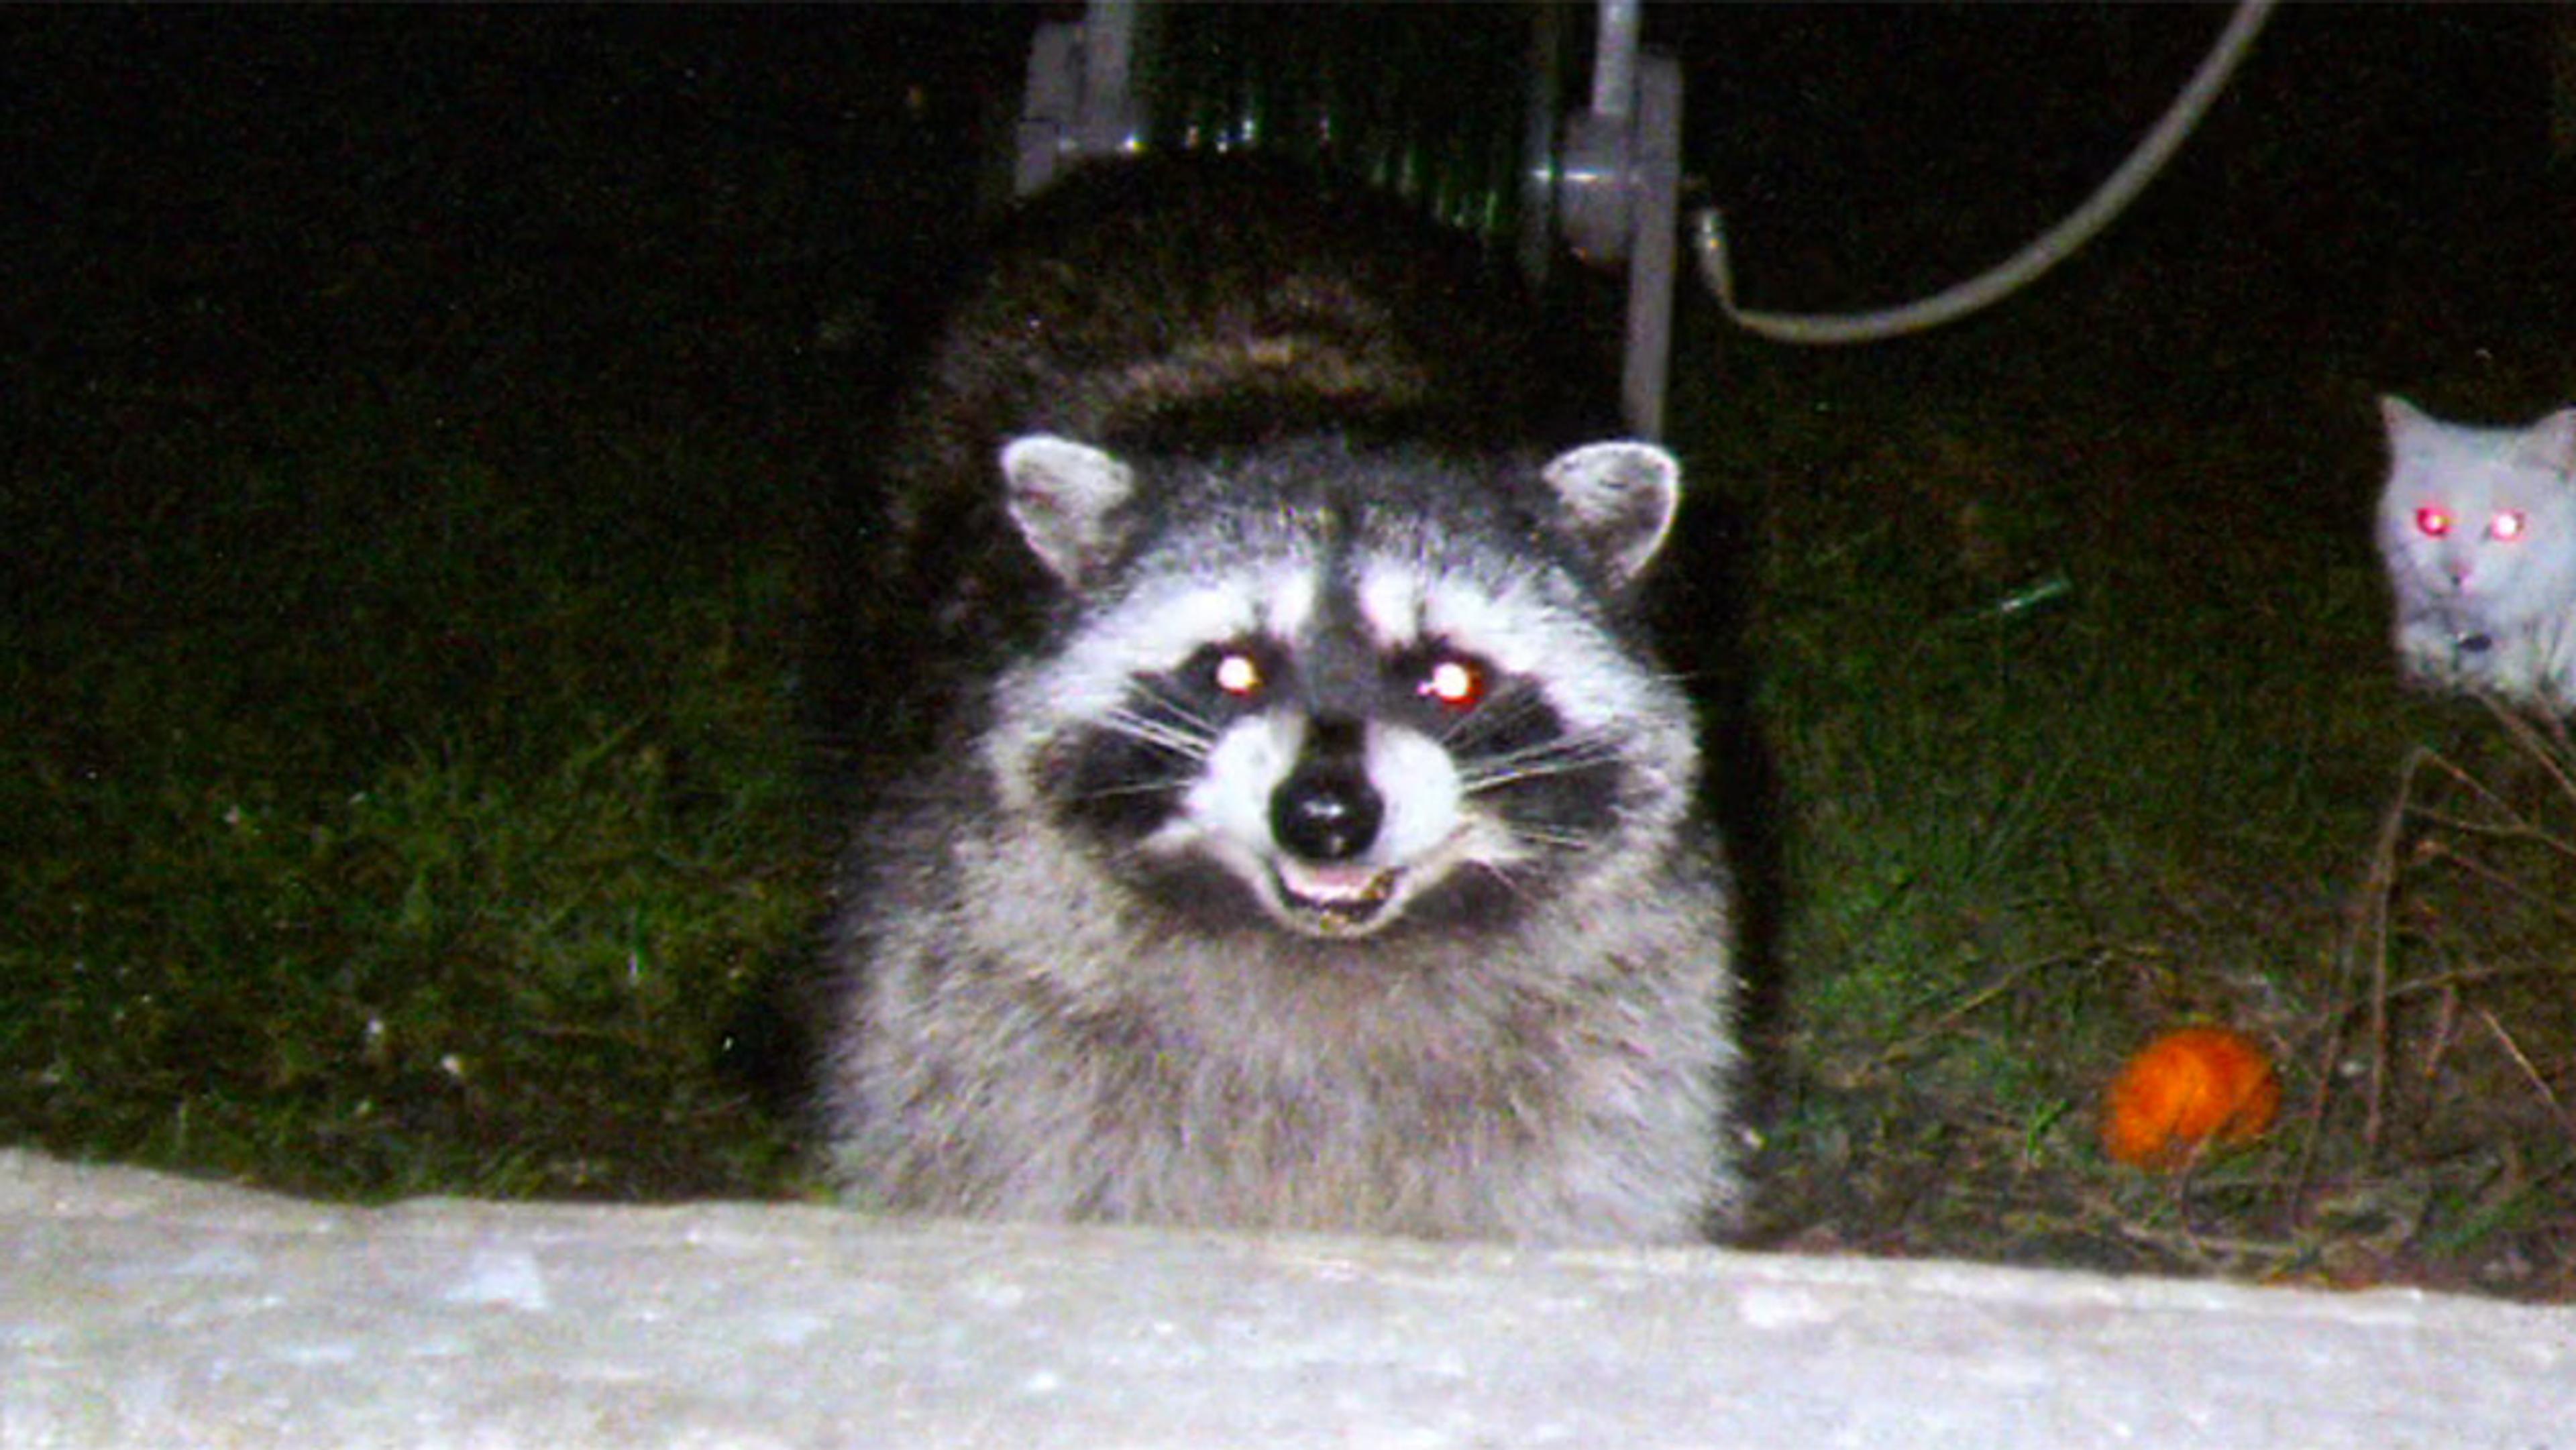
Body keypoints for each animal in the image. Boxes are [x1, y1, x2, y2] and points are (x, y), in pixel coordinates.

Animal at [821, 157, 1738, 1244]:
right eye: (1233, 672)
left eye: (1451, 679)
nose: (1325, 814)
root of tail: (1205, 170)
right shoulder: (980, 984)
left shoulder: (1621, 1004)